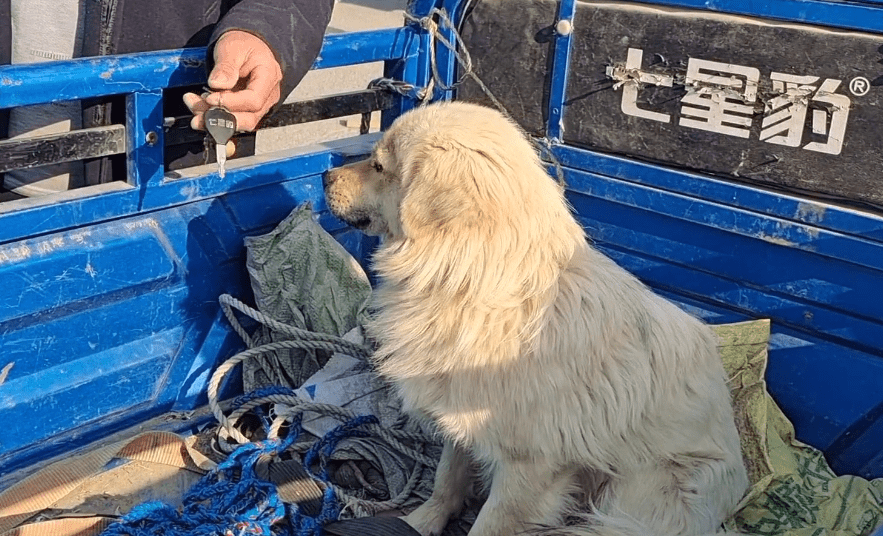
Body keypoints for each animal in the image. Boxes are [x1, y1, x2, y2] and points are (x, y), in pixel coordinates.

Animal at [322, 101, 744, 536]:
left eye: (379, 166)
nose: (324, 176)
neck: (473, 282)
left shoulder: (530, 468)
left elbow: (488, 523)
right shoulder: (458, 419)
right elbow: (446, 480)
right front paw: (421, 522)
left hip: (639, 494)